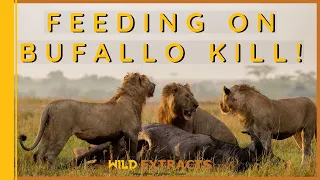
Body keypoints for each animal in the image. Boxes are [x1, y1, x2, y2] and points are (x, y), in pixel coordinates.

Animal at [18, 72, 156, 169]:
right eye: (148, 80)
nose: (154, 85)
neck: (133, 98)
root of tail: (50, 105)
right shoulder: (131, 133)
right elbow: (132, 153)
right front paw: (134, 167)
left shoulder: (116, 137)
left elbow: (115, 155)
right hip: (60, 134)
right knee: (49, 155)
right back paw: (53, 171)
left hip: (47, 132)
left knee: (38, 153)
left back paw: (40, 170)